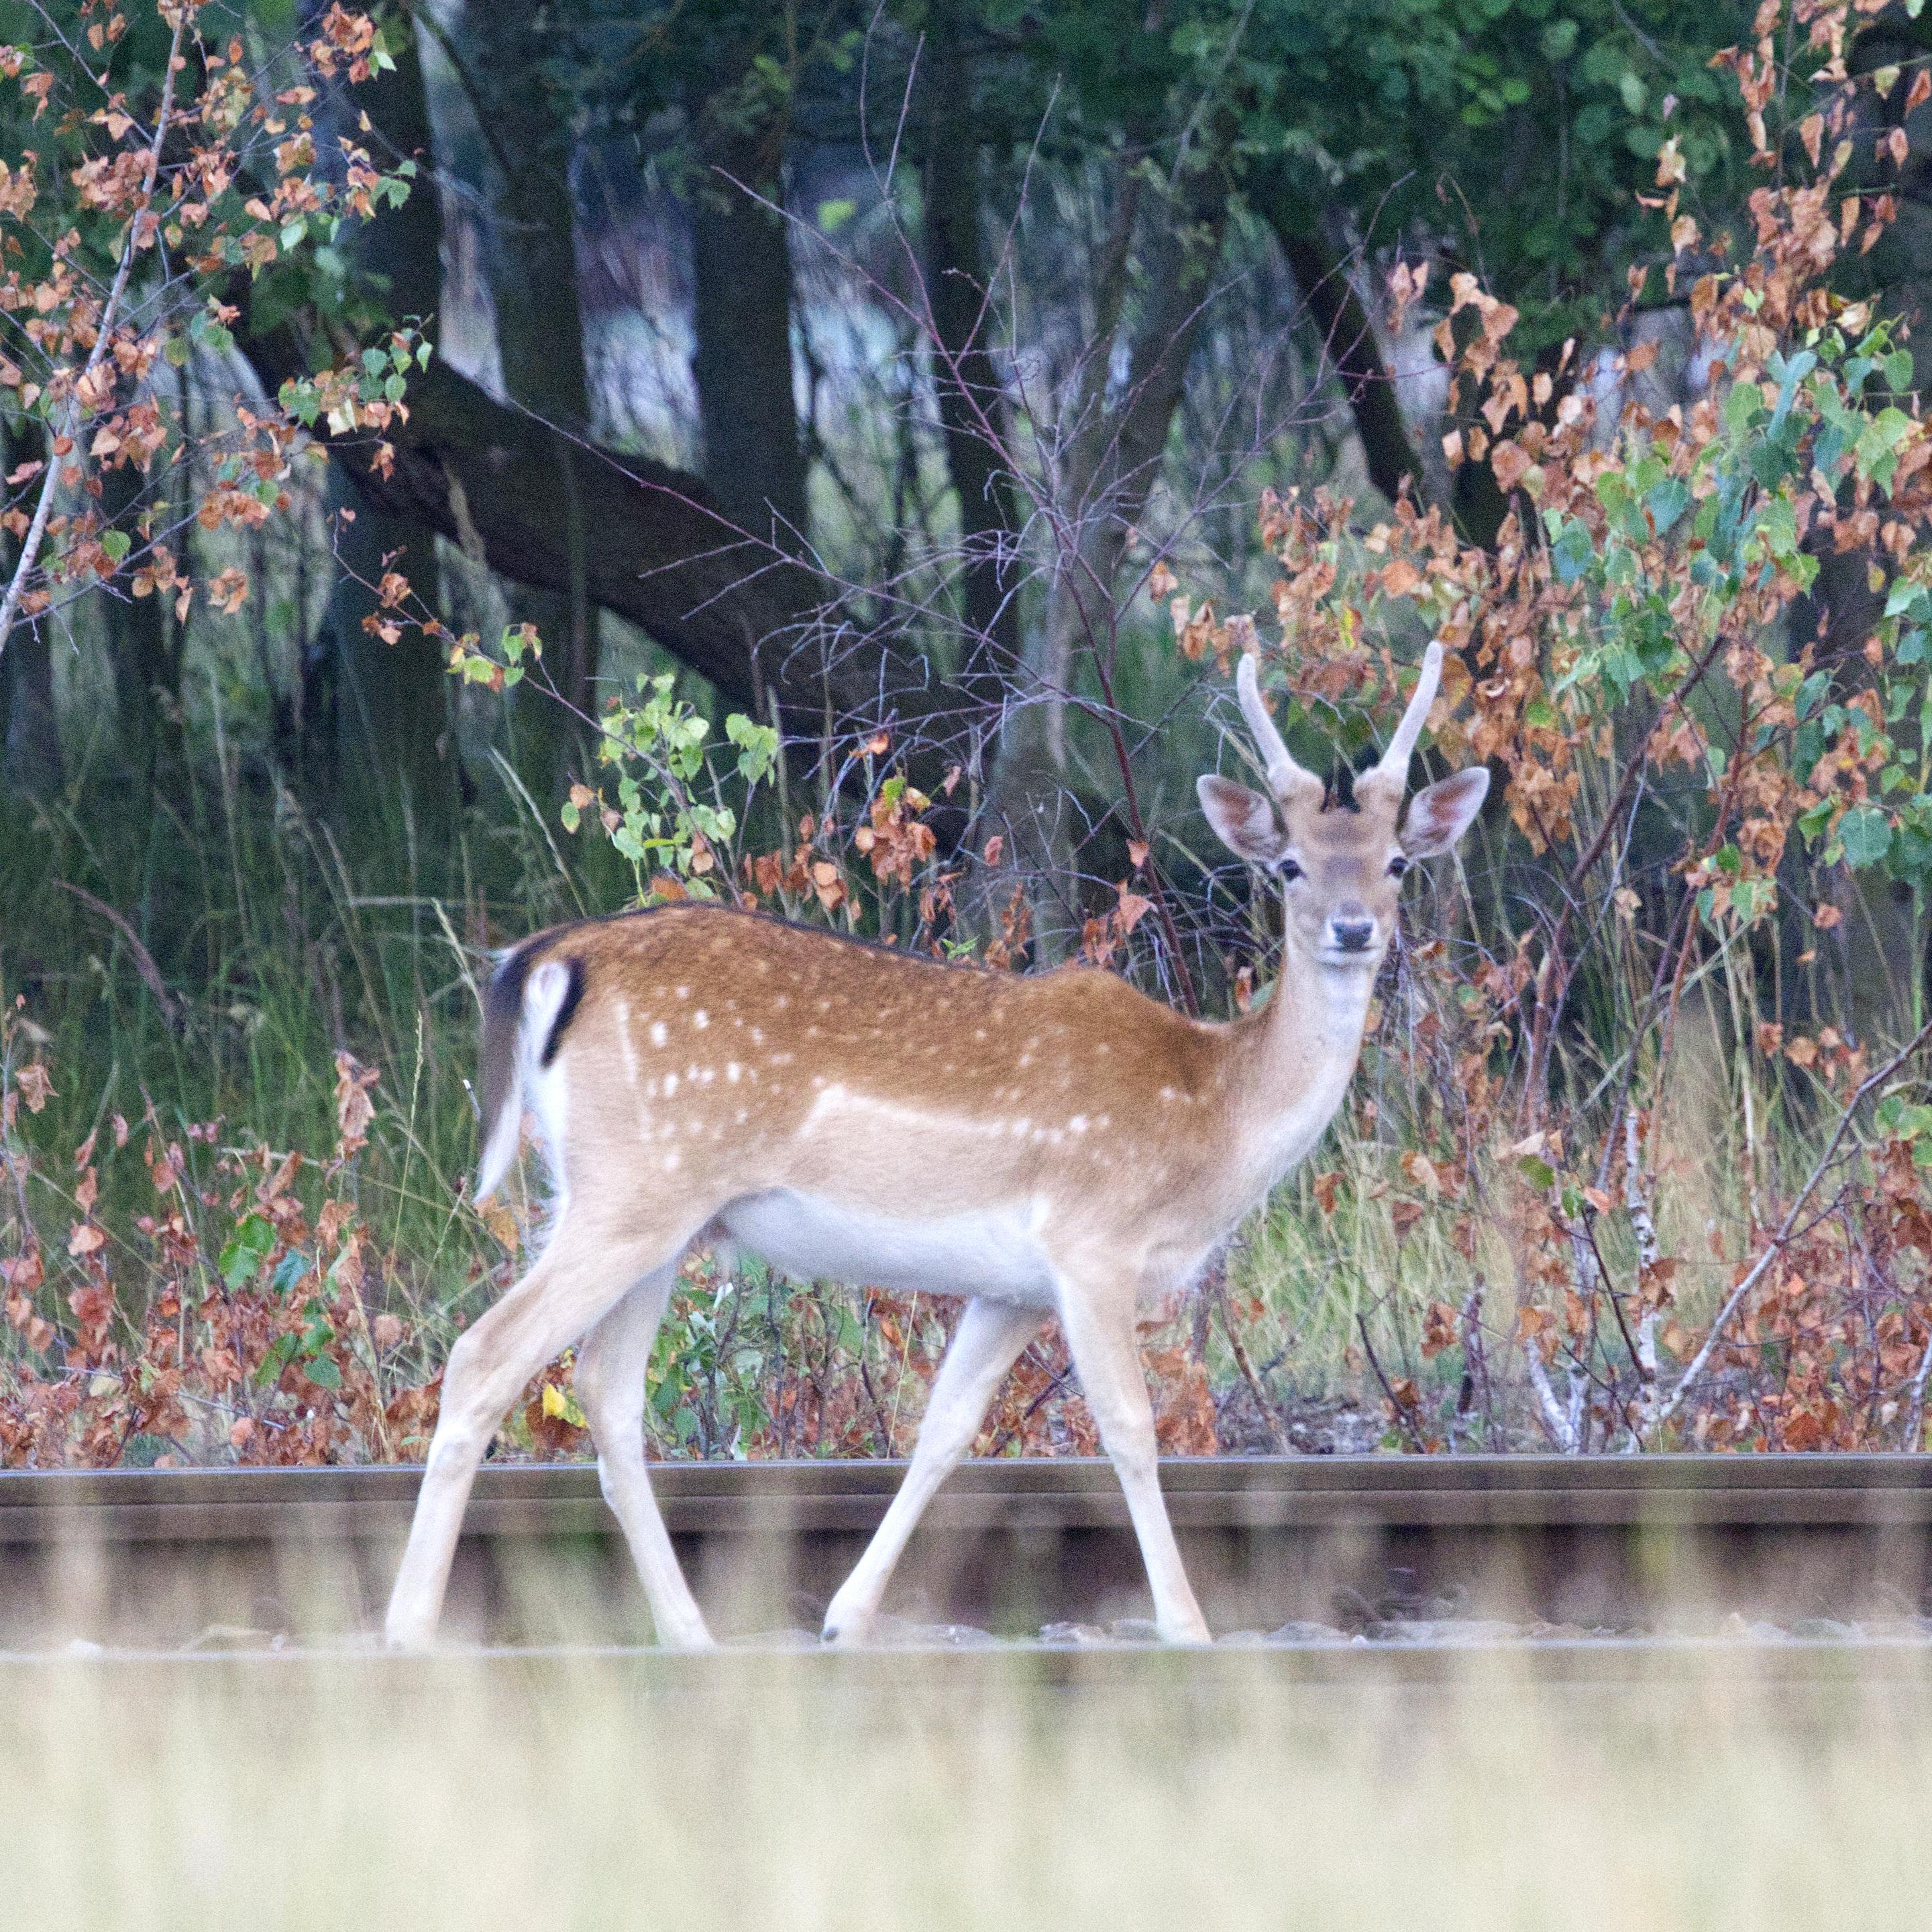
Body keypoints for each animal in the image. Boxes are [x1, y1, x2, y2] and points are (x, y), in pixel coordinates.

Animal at [382, 642, 1489, 1650]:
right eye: (1288, 864)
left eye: (1397, 862)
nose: (1353, 928)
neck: (1208, 1116)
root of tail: (549, 958)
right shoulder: (1091, 1239)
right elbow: (1130, 1429)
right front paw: (1188, 1628)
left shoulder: (1011, 1287)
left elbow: (944, 1432)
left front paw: (844, 1617)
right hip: (633, 1191)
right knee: (485, 1355)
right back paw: (410, 1631)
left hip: (654, 1215)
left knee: (608, 1398)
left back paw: (690, 1634)